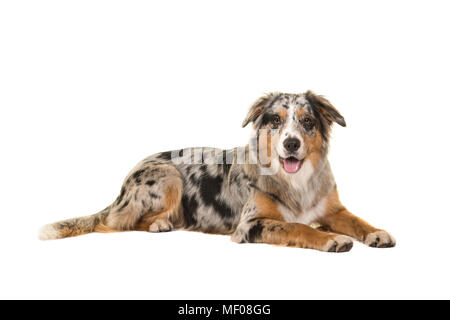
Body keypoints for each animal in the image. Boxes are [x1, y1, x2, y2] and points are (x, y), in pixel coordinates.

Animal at [40, 90, 396, 252]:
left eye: (307, 121)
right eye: (275, 120)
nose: (292, 144)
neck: (297, 182)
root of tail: (121, 187)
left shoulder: (333, 208)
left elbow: (356, 220)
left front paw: (376, 232)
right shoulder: (250, 225)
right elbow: (298, 227)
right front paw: (330, 238)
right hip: (168, 178)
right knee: (116, 222)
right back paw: (158, 224)